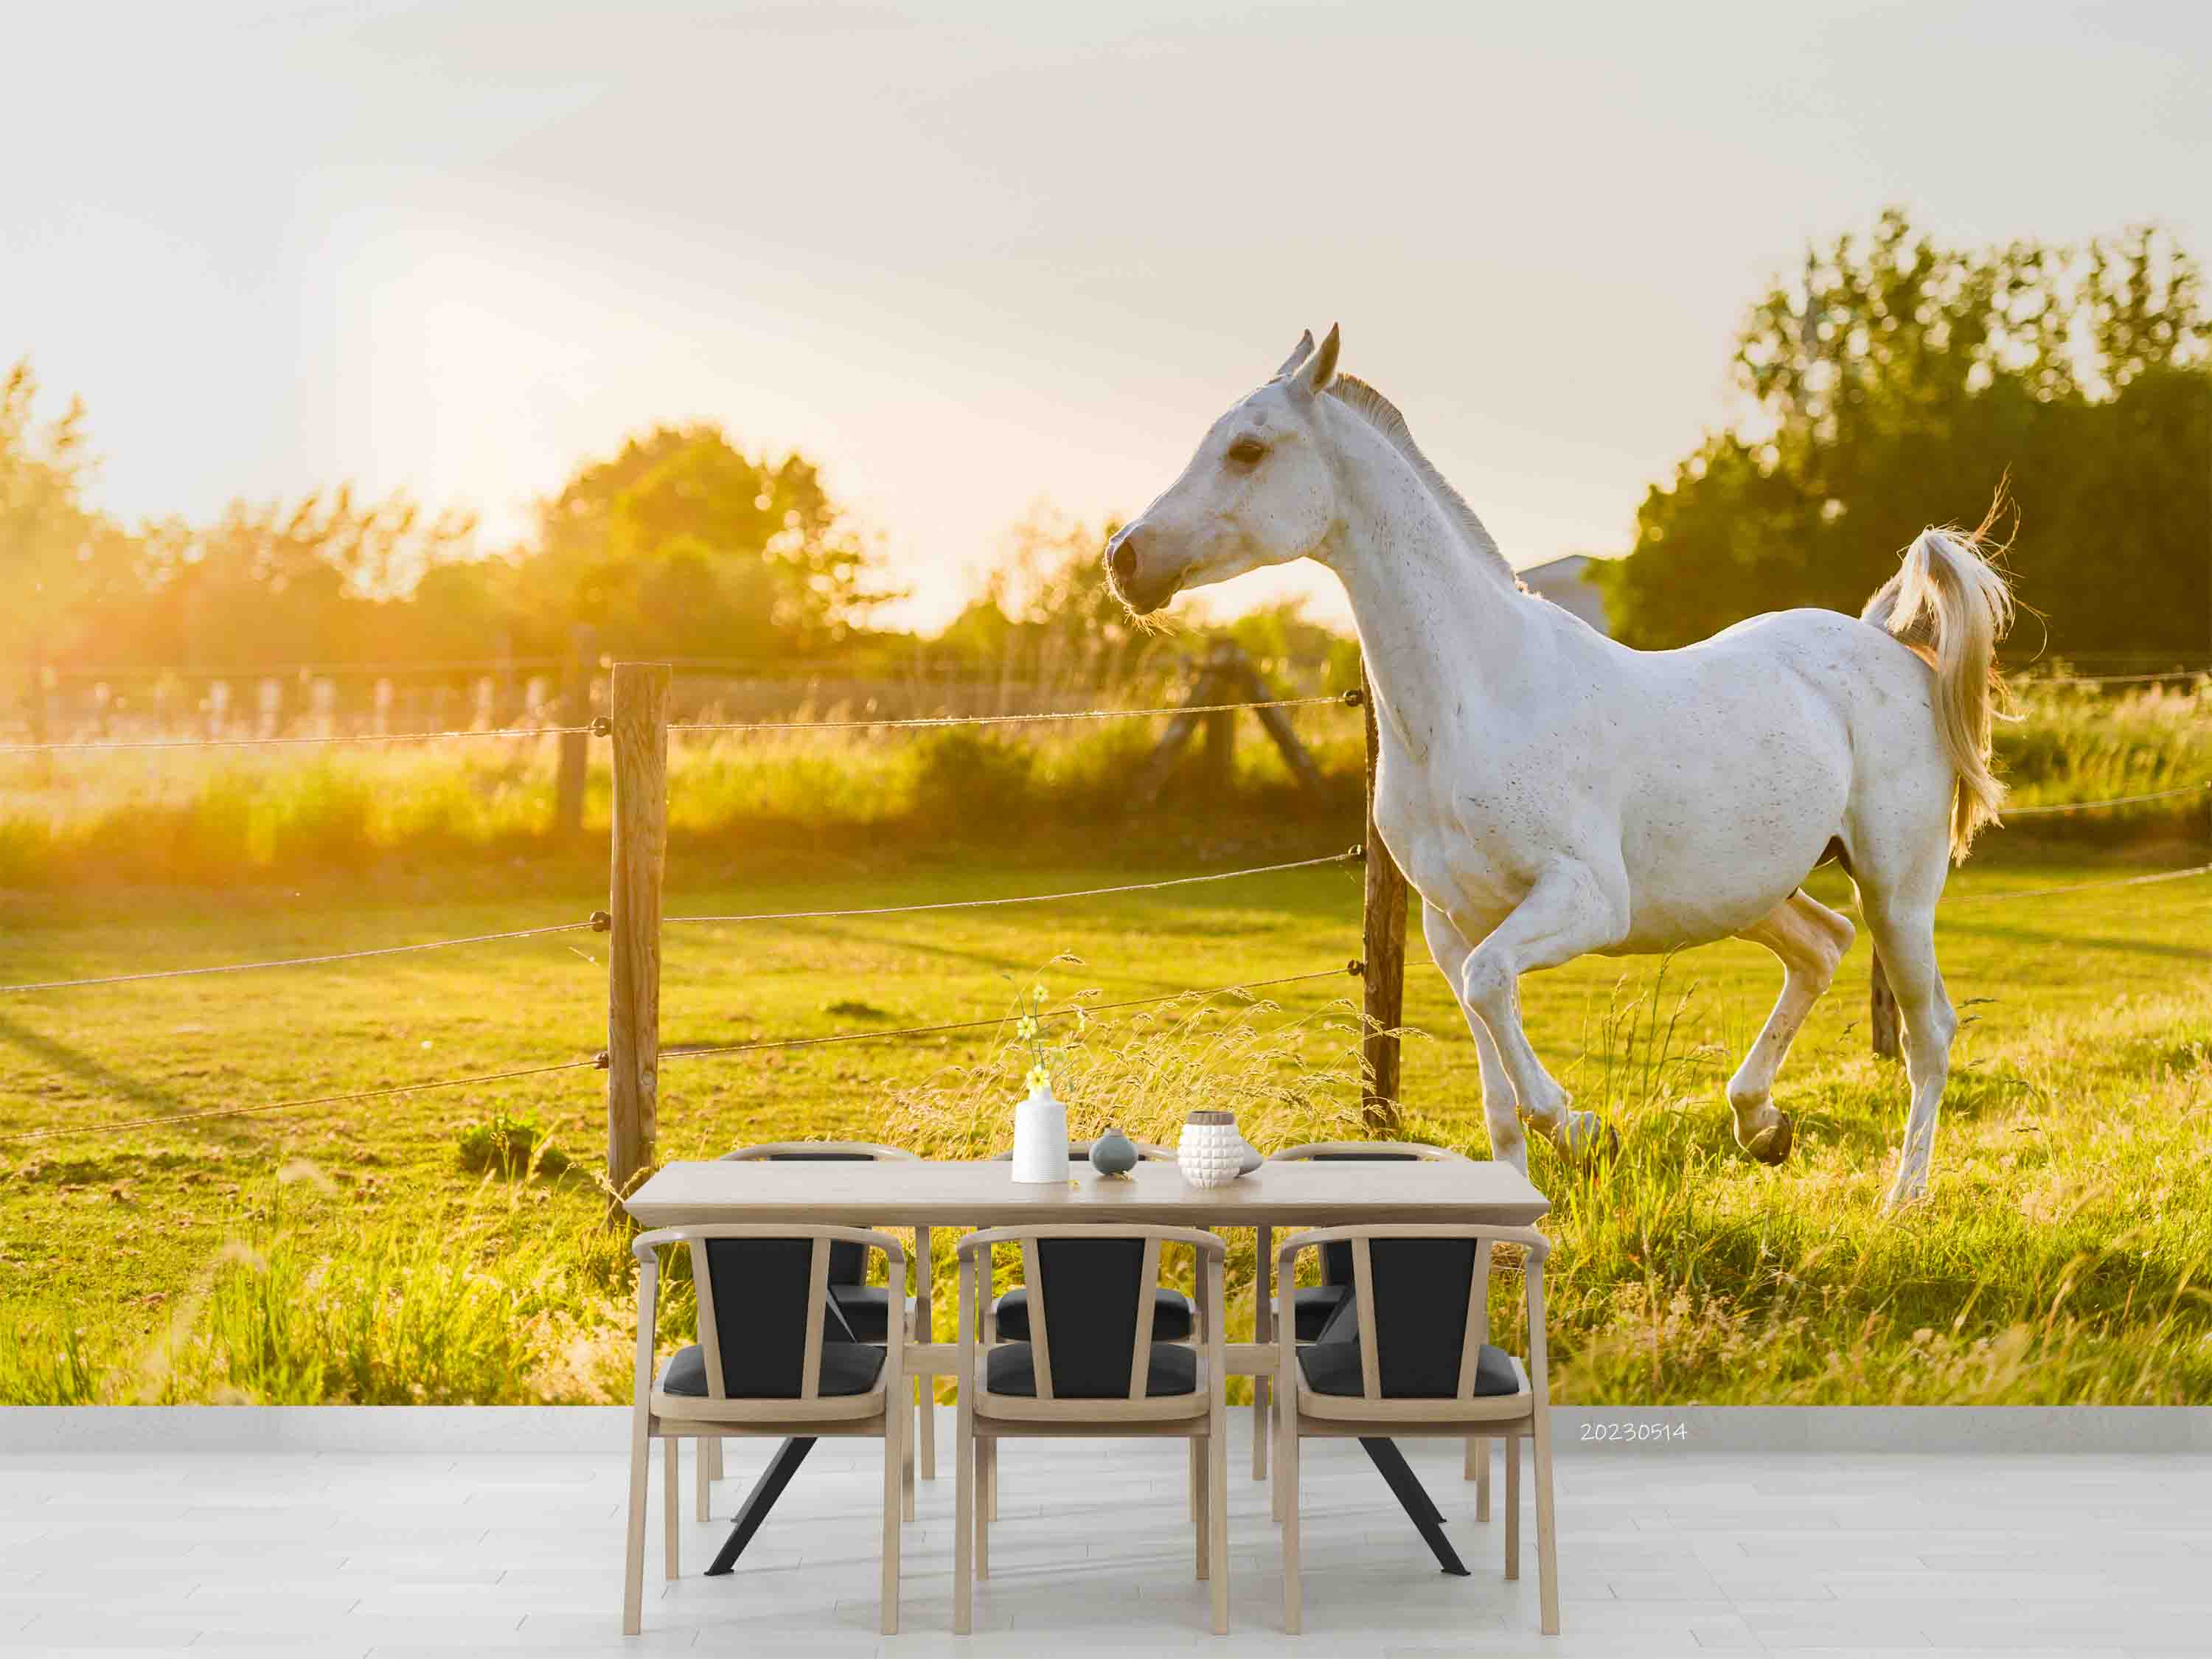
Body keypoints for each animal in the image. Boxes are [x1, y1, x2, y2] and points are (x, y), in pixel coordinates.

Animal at [1104, 327, 2015, 1210]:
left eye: (1248, 449)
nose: (1125, 560)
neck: (1475, 699)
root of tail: (1892, 648)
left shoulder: (1582, 902)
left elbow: (1497, 1005)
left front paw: (1582, 1131)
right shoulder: (1451, 926)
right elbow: (1493, 1081)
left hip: (1896, 889)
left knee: (1928, 1031)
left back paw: (1901, 1198)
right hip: (1747, 893)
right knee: (1823, 948)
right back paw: (1762, 1126)